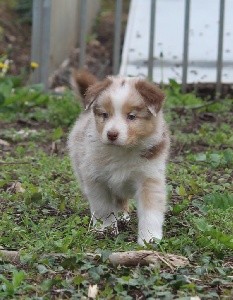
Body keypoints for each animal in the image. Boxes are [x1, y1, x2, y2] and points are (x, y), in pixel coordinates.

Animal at [67, 72, 169, 246]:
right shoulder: (95, 178)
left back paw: (122, 216)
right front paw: (105, 229)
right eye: (105, 115)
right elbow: (103, 207)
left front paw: (149, 239)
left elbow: (150, 211)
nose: (112, 134)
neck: (122, 151)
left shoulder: (149, 177)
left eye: (131, 116)